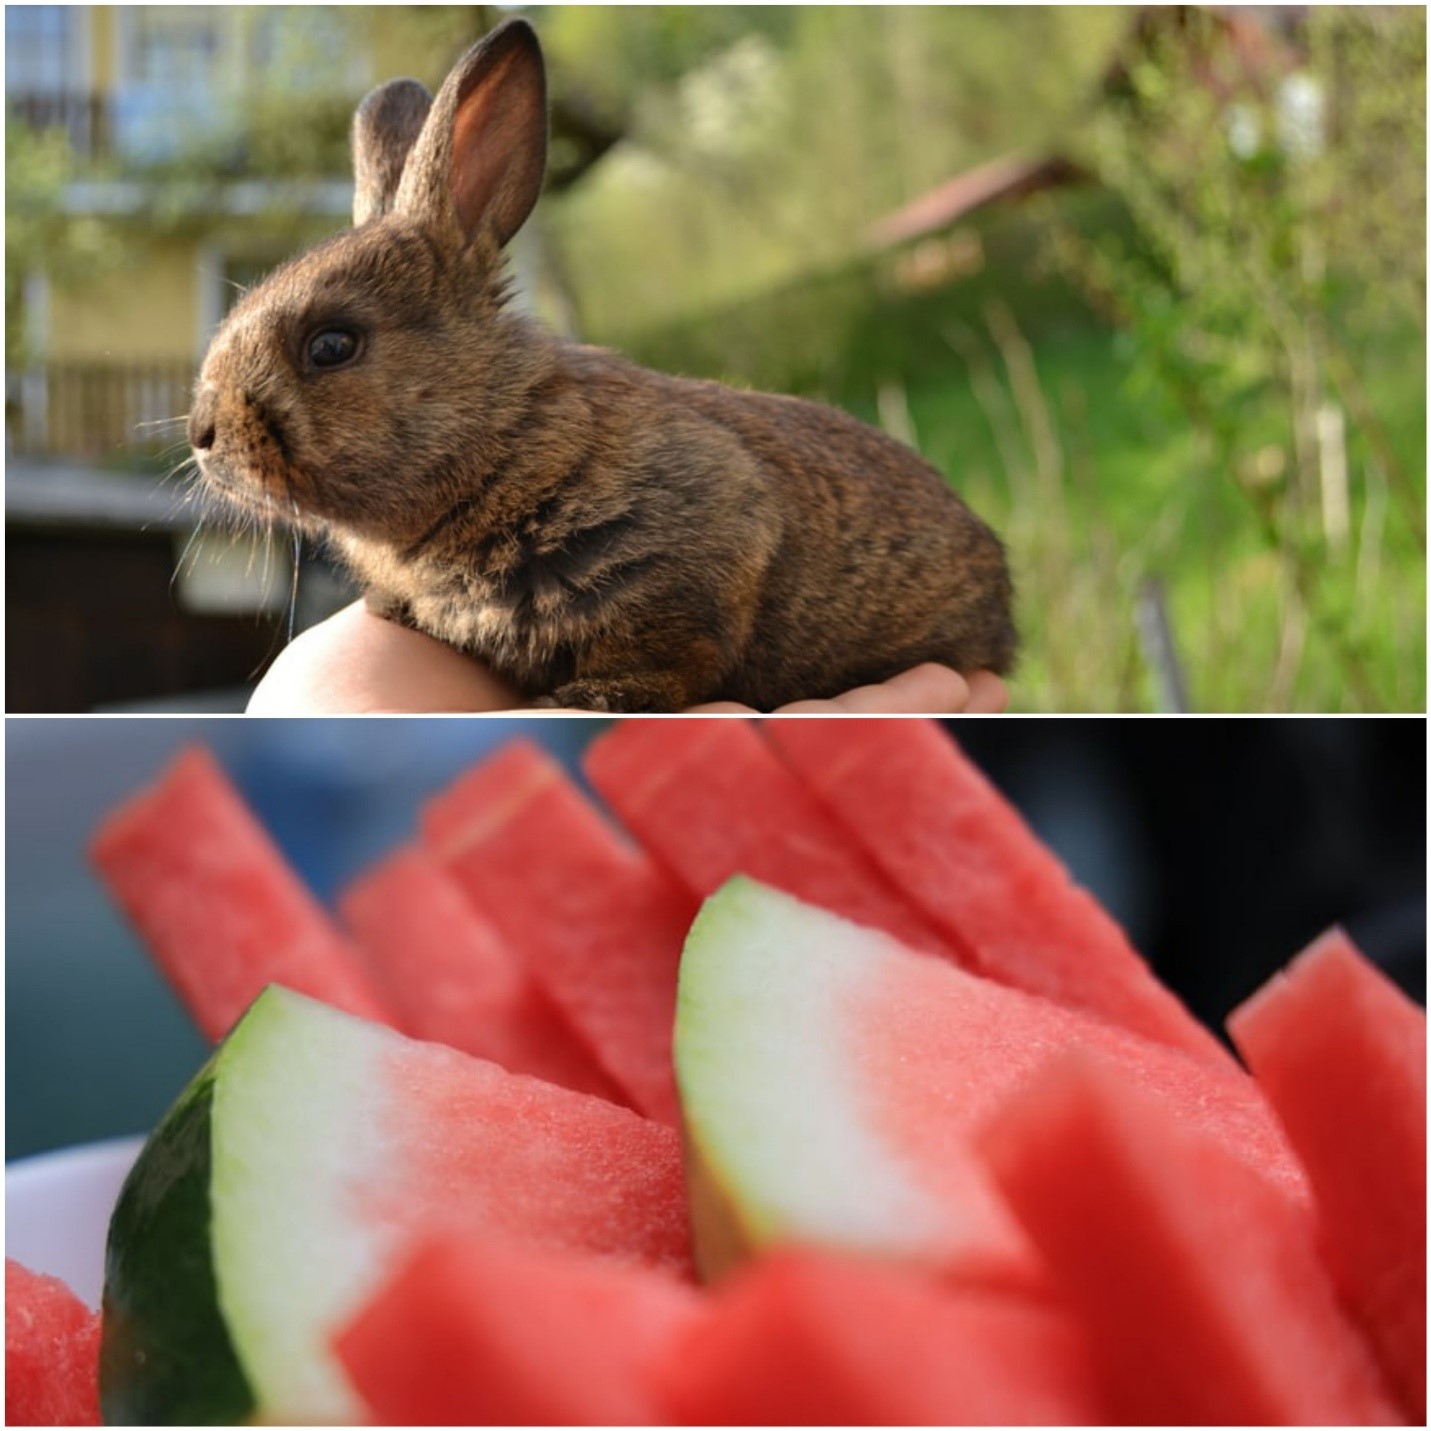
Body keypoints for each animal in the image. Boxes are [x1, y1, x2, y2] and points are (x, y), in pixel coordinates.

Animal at [188, 18, 1016, 712]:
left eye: (332, 345)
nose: (202, 434)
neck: (501, 433)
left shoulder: (696, 562)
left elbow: (669, 654)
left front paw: (589, 696)